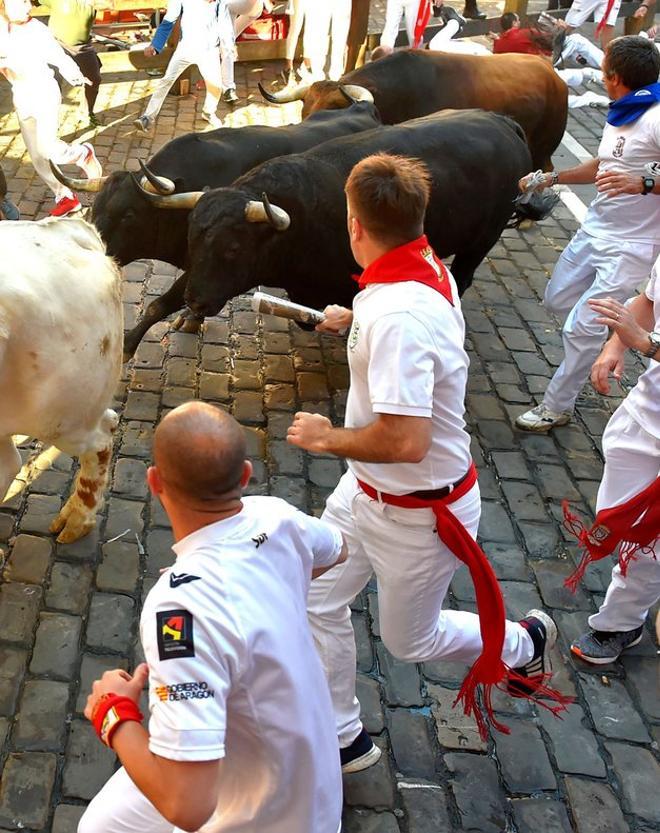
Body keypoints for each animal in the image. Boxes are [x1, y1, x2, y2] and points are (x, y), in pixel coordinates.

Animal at [182, 110, 532, 318]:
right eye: (192, 242)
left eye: (232, 248)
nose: (194, 301)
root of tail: (500, 121)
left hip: (483, 240)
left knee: (463, 276)